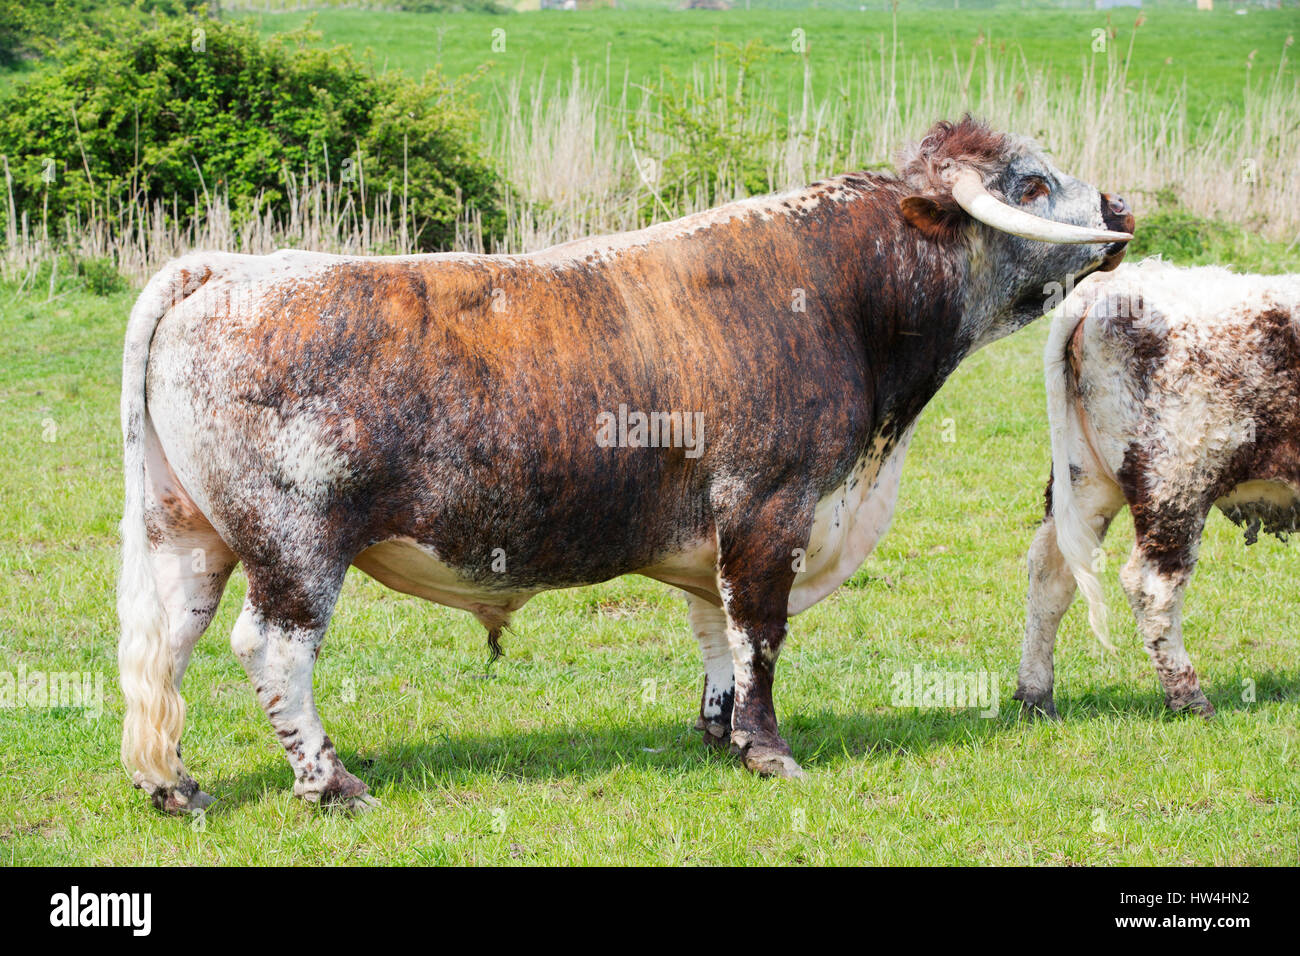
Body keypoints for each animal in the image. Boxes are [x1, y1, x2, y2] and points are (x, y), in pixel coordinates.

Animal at [1013, 257, 1300, 723]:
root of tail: (1111, 283)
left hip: (1084, 479)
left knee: (1050, 570)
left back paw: (1035, 696)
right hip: (1176, 486)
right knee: (1151, 585)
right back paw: (1189, 697)